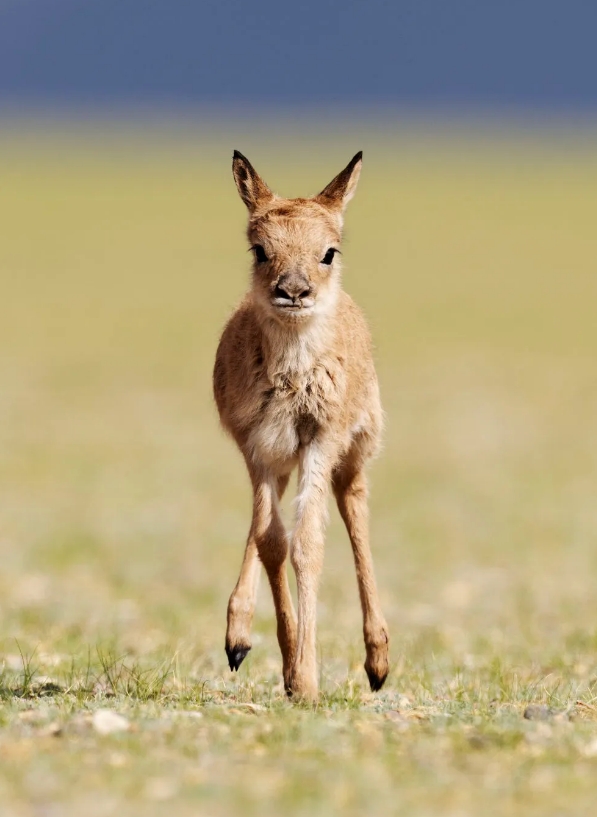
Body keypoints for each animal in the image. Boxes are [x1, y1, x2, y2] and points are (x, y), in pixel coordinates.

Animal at [212, 150, 388, 700]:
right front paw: (289, 667)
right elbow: (272, 541)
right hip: (280, 461)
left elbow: (308, 543)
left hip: (353, 455)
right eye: (259, 249)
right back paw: (238, 639)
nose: (293, 290)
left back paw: (378, 662)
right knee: (265, 529)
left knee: (355, 511)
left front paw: (306, 679)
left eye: (329, 251)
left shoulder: (320, 441)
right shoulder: (258, 448)